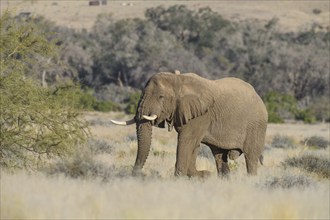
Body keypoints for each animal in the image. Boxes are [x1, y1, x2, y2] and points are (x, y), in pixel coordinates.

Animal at [111, 71, 268, 178]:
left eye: (161, 97)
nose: (135, 176)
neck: (178, 79)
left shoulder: (202, 115)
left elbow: (186, 140)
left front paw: (180, 178)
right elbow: (193, 144)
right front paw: (202, 175)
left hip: (257, 126)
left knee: (251, 157)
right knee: (219, 156)